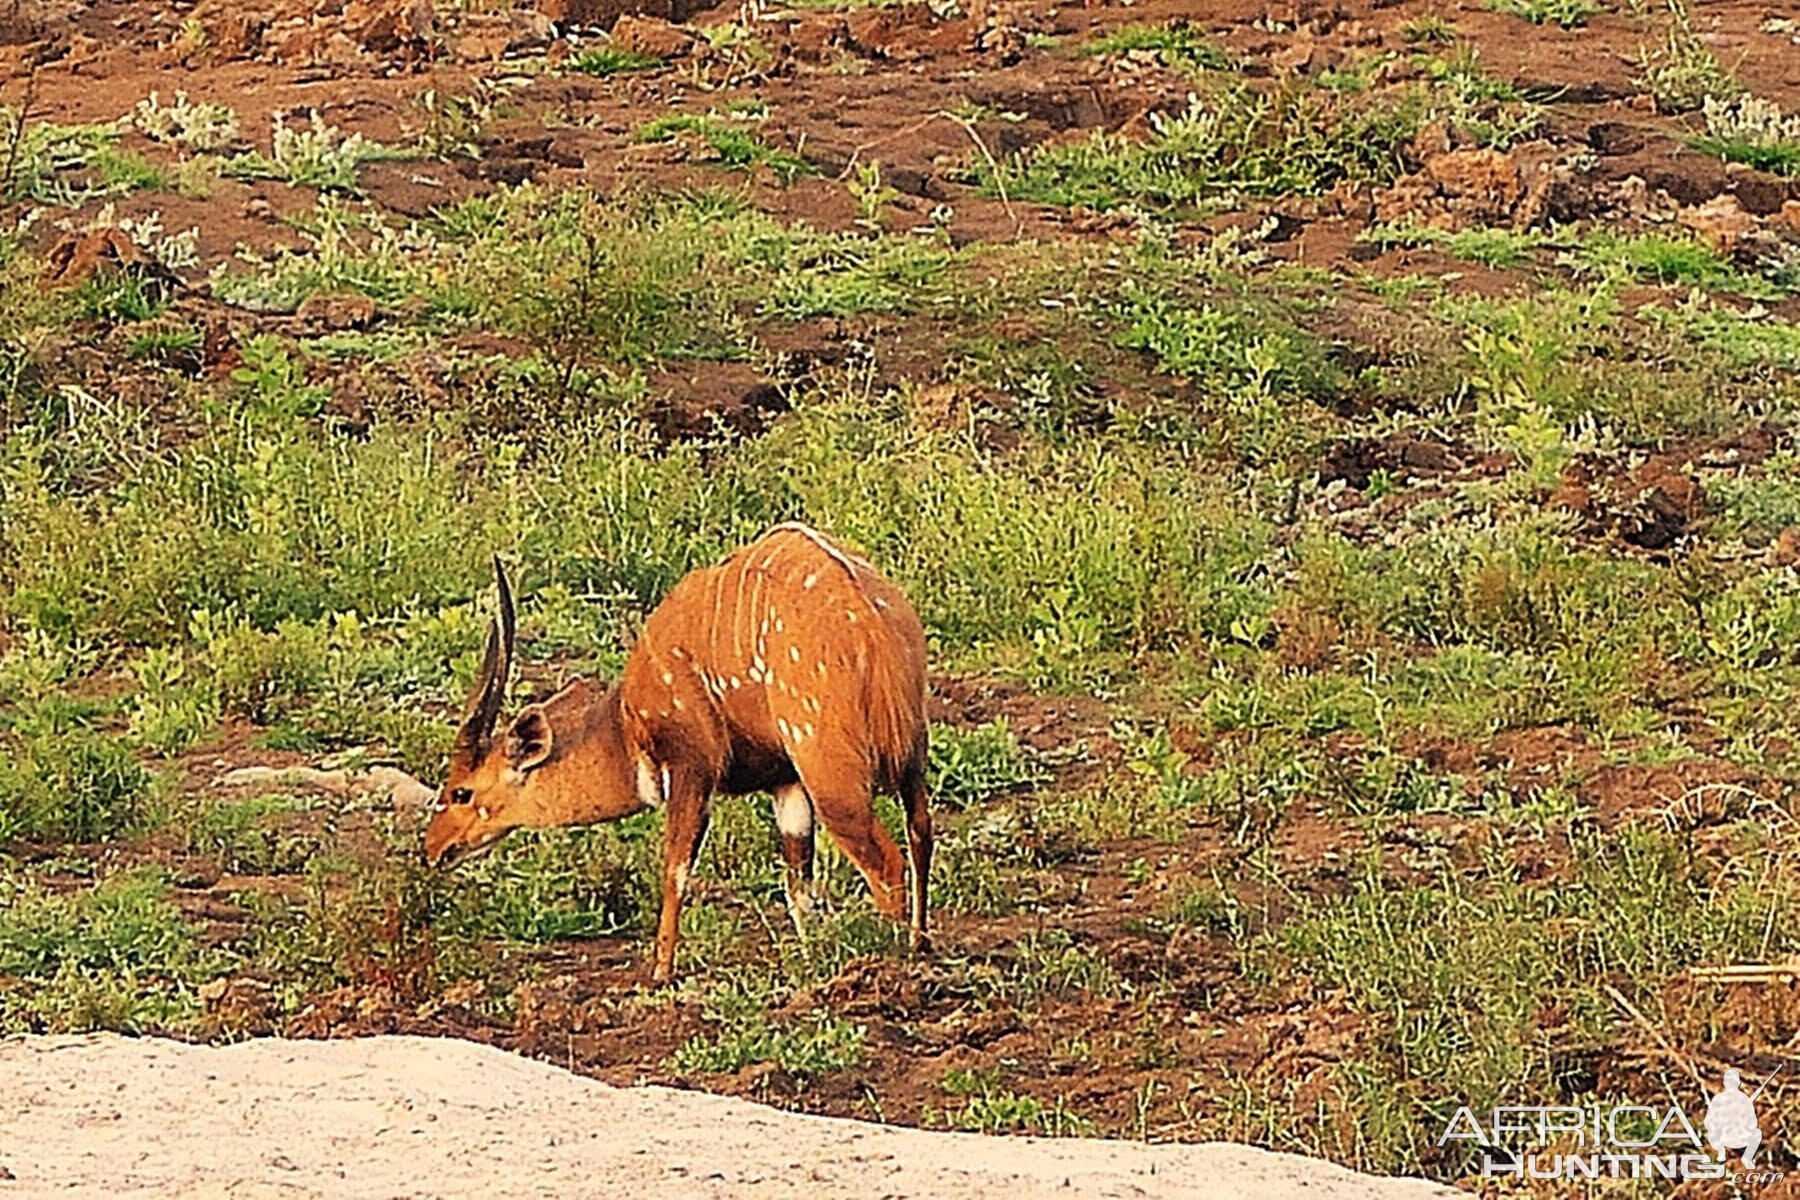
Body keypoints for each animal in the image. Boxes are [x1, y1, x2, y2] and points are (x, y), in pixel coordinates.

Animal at [419, 525, 928, 985]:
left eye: (461, 792)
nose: (432, 849)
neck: (624, 727)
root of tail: (873, 628)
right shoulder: (784, 781)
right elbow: (797, 885)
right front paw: (809, 960)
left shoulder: (691, 766)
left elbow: (675, 870)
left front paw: (660, 972)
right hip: (909, 757)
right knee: (920, 836)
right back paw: (920, 945)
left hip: (830, 774)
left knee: (888, 862)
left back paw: (894, 963)